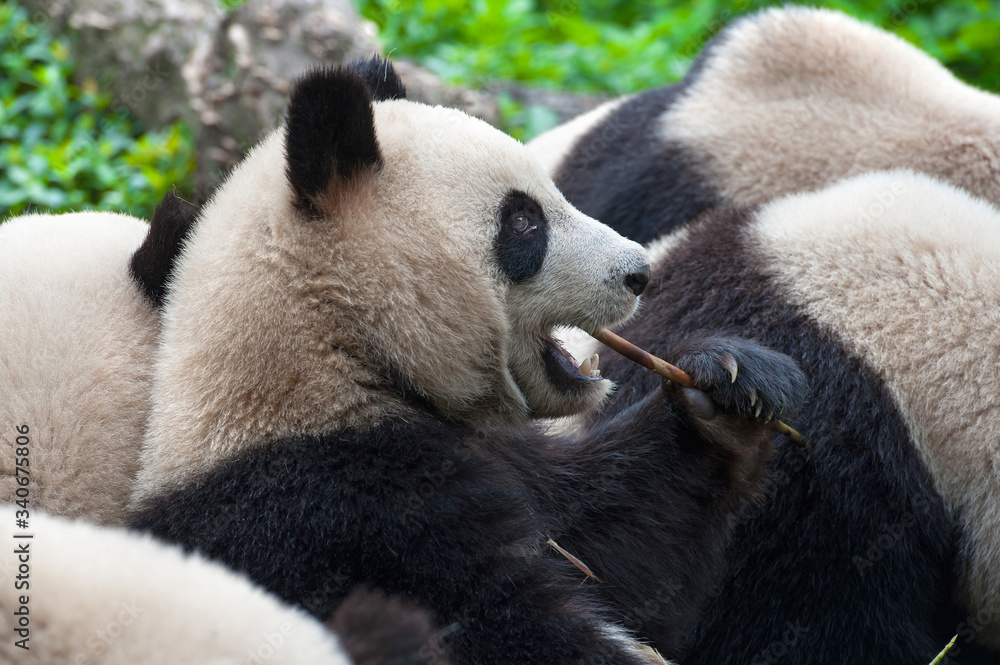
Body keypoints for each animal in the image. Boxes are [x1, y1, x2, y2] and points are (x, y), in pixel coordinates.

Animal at [125, 56, 807, 664]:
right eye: (524, 221)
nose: (639, 272)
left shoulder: (515, 466)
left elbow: (623, 545)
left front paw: (729, 387)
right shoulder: (336, 513)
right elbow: (506, 626)